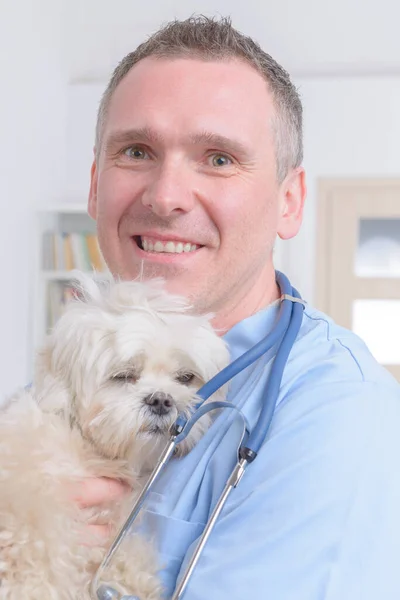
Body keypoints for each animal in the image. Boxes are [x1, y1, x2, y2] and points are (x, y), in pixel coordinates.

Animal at [0, 276, 230, 600]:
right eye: (123, 375)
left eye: (185, 378)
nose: (162, 400)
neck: (92, 450)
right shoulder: (27, 495)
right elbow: (35, 545)